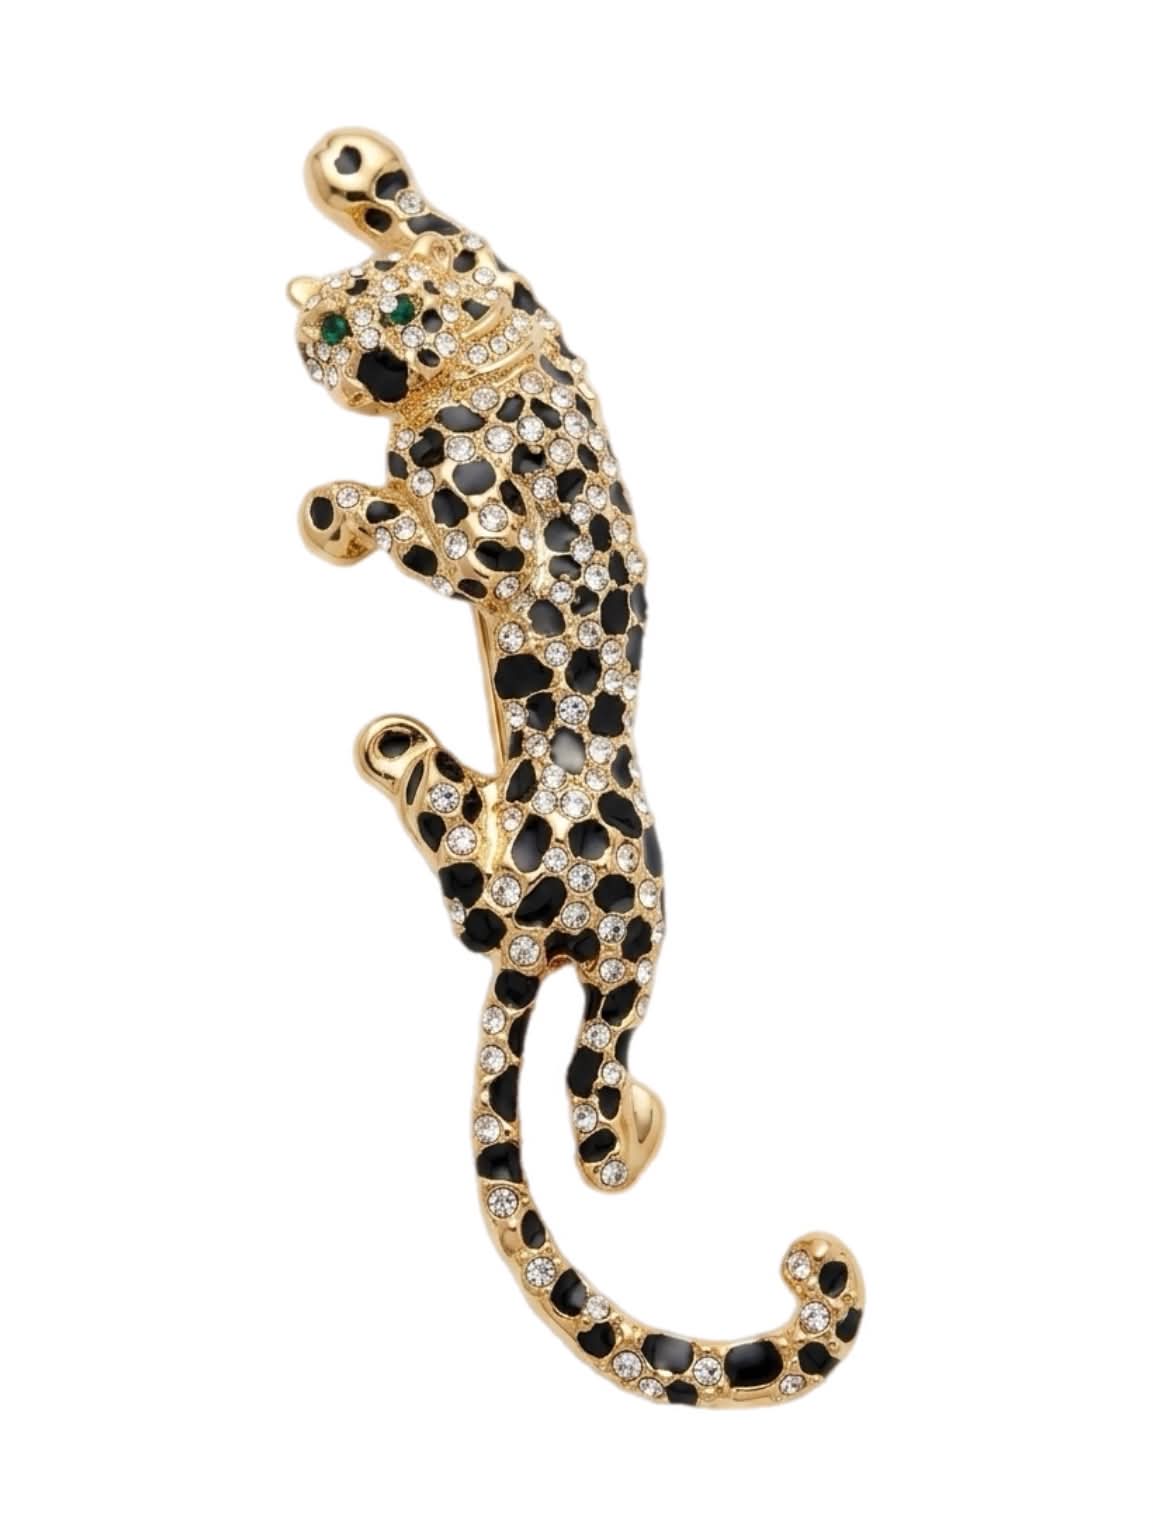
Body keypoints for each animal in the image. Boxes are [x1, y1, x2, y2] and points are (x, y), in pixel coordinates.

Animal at [291, 128, 863, 1406]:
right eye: (331, 325)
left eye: (380, 318)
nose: (352, 359)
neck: (469, 367)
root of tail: (548, 930)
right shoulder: (502, 279)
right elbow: (432, 216)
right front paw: (360, 176)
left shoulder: (497, 542)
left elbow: (429, 536)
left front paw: (340, 508)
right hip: (621, 964)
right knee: (586, 1080)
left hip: (589, 925)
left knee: (529, 998)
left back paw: (400, 749)